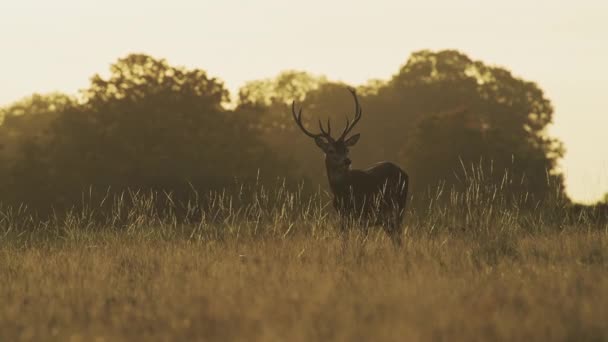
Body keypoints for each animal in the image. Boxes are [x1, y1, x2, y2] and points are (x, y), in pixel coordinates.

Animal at [290, 87, 408, 244]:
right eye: (331, 150)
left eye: (346, 149)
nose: (347, 161)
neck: (344, 195)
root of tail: (403, 172)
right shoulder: (342, 218)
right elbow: (344, 244)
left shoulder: (364, 216)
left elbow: (361, 244)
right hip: (386, 218)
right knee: (395, 239)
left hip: (398, 207)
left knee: (398, 237)